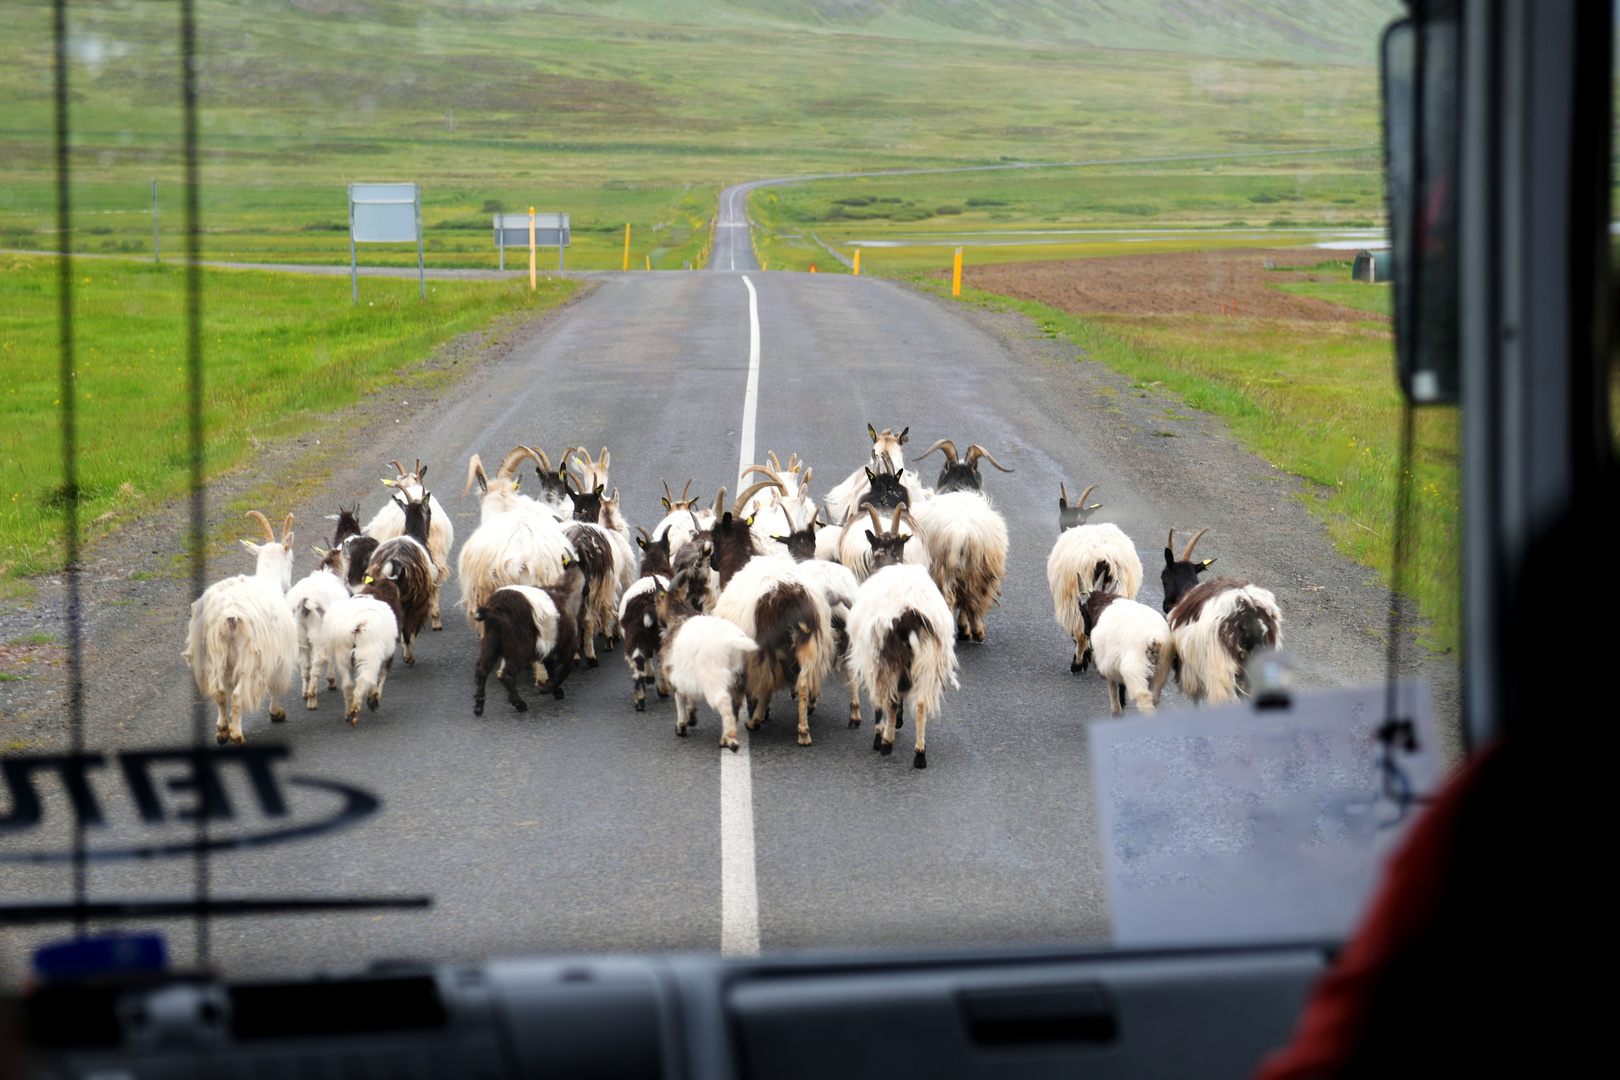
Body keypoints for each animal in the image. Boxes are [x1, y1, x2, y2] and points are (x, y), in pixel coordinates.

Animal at [183, 511, 301, 748]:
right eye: (291, 559)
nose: (288, 586)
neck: (268, 579)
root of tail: (227, 615)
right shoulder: (277, 653)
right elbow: (275, 685)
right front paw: (276, 712)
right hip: (249, 656)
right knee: (237, 695)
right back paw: (237, 735)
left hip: (212, 654)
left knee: (219, 692)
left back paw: (222, 731)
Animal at [842, 508, 952, 767]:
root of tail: (910, 613)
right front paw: (899, 722)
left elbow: (882, 700)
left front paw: (881, 734)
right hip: (928, 656)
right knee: (920, 702)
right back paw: (920, 753)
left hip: (887, 653)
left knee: (888, 698)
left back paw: (885, 743)